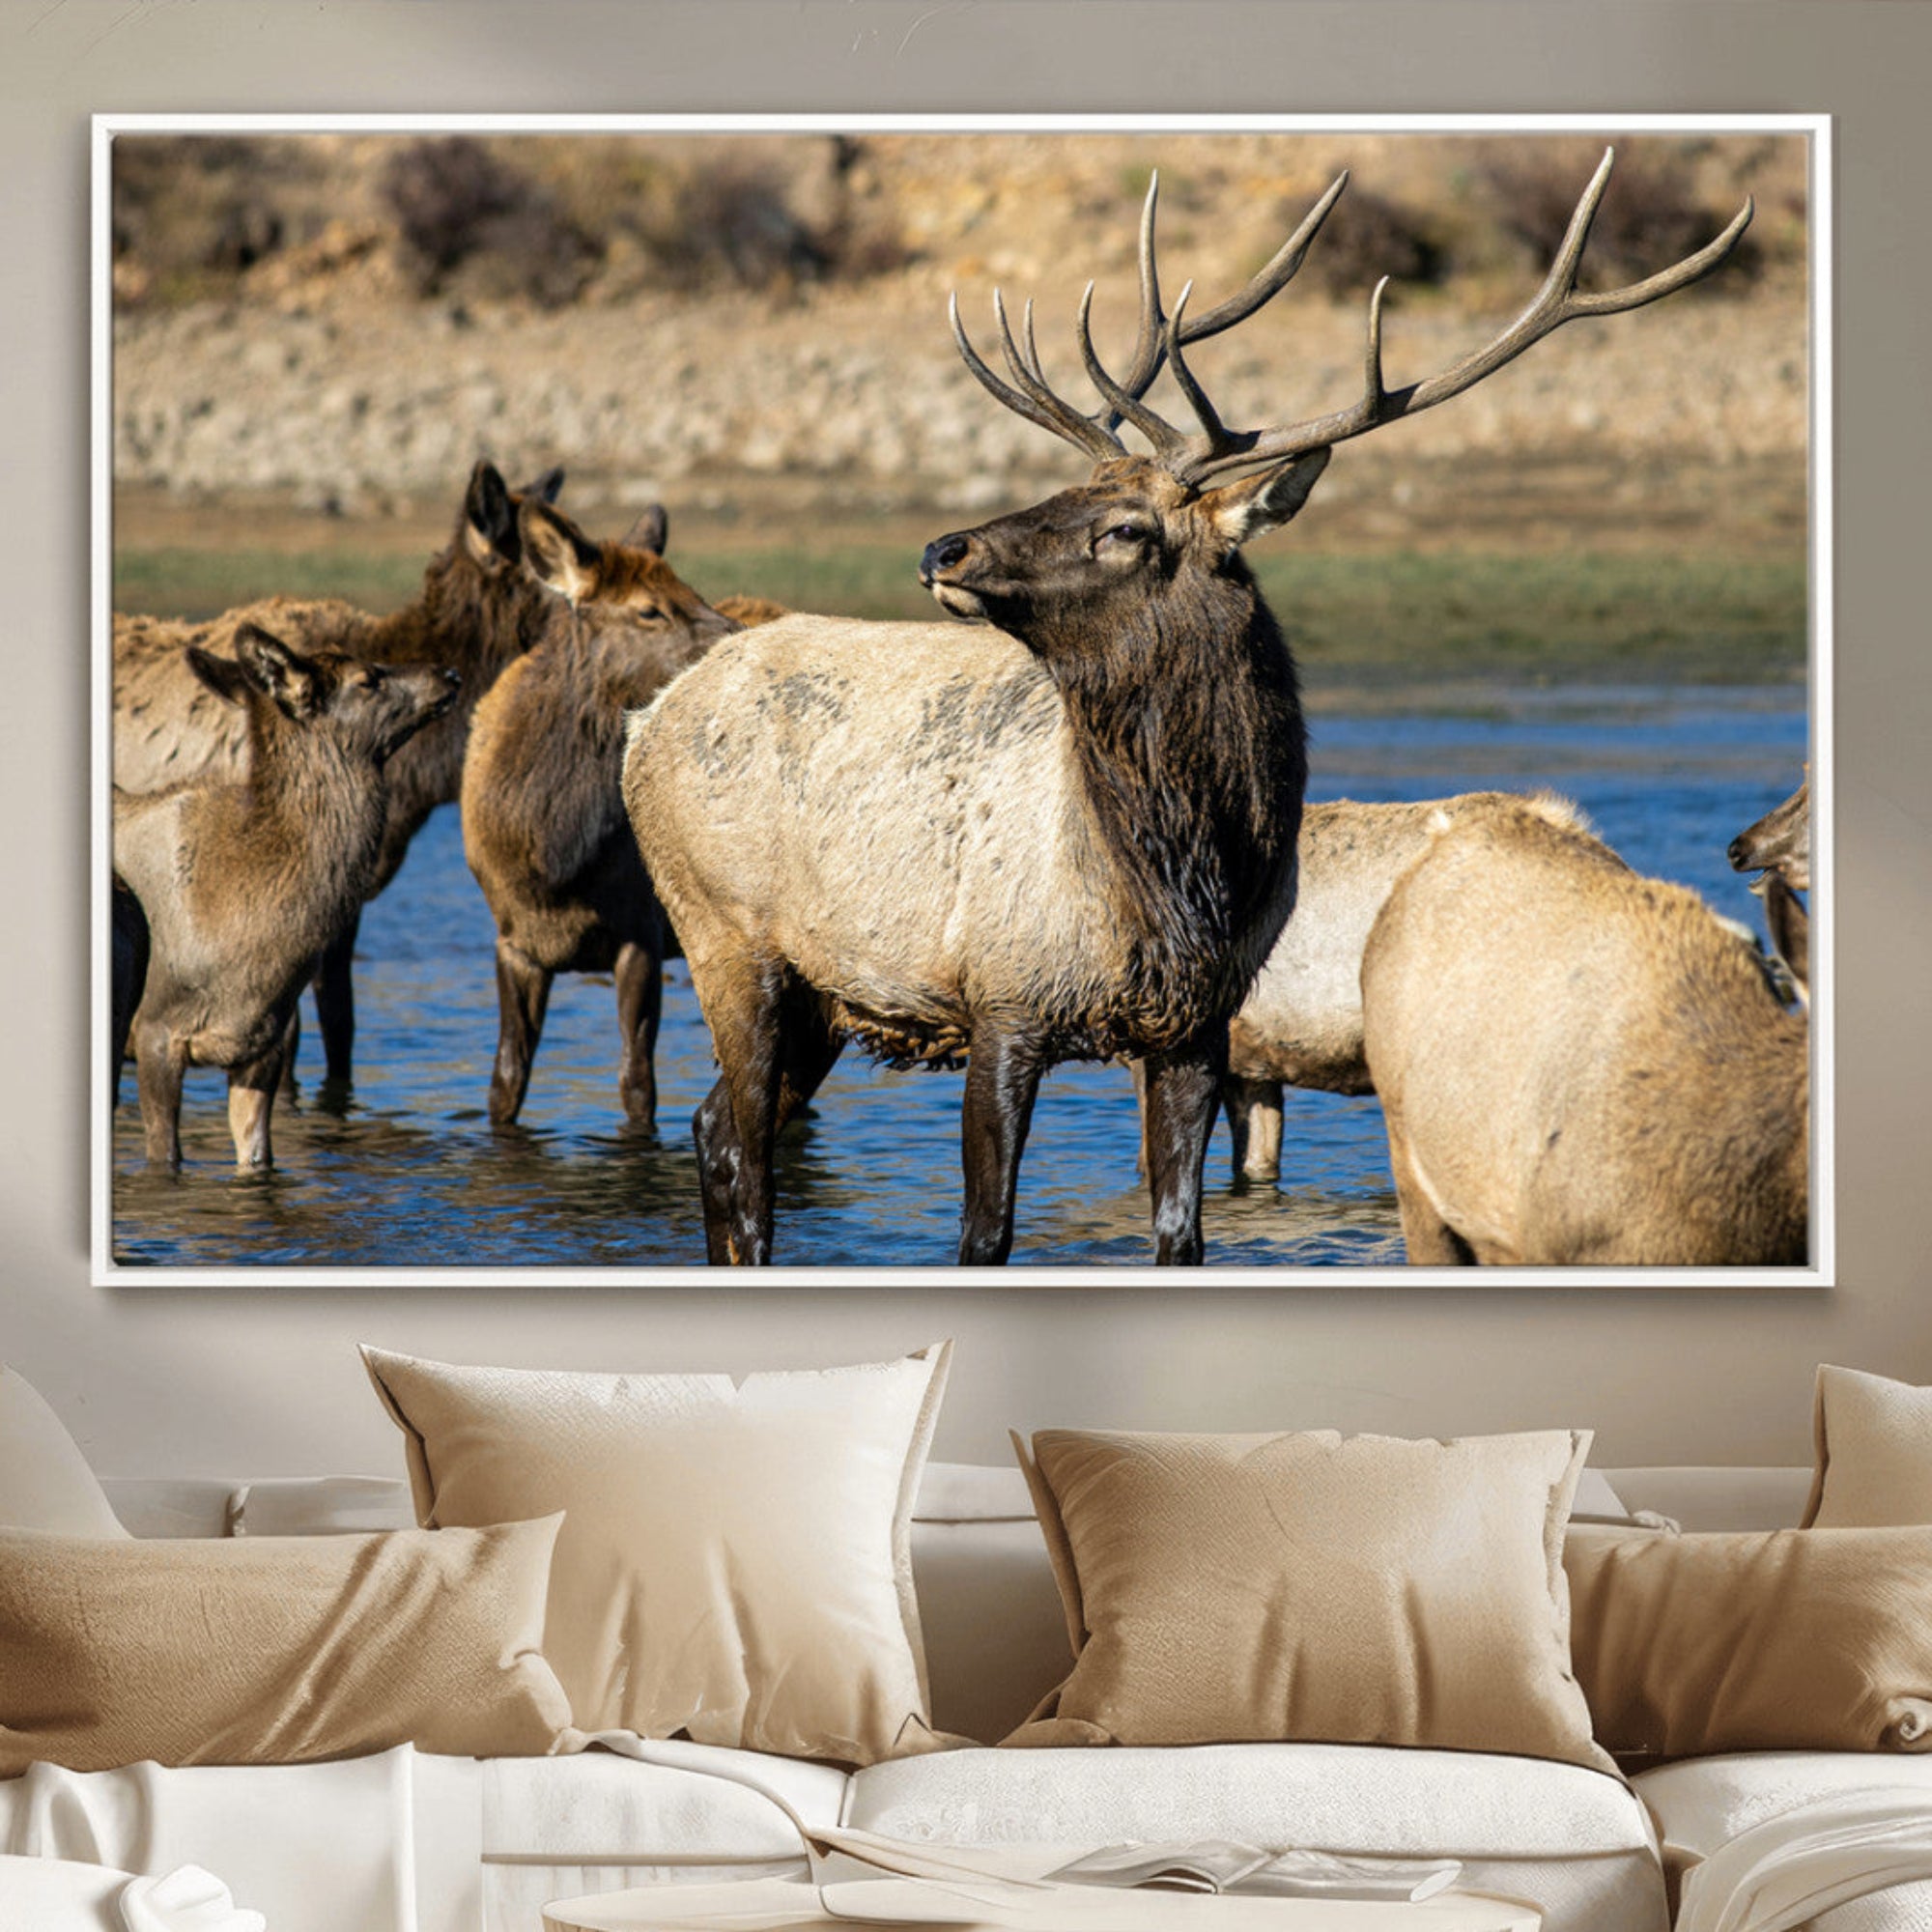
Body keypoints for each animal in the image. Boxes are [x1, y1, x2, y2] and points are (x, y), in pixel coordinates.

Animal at [114, 624, 457, 1170]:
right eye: (368, 678)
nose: (449, 673)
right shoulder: (154, 1032)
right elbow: (164, 1157)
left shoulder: (263, 1043)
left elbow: (258, 1158)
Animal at [461, 497, 739, 1129]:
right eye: (649, 609)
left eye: (694, 591)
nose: (738, 638)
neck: (554, 857)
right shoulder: (511, 940)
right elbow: (504, 1082)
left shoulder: (641, 931)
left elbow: (637, 1084)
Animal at [621, 150, 1753, 1268]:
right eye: (1066, 490)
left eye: (1123, 525)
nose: (944, 548)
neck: (1174, 884)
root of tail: (652, 716)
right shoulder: (1003, 996)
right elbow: (984, 1233)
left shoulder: (1200, 1028)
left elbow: (1182, 1232)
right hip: (725, 932)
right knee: (741, 1150)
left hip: (814, 988)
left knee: (716, 1127)